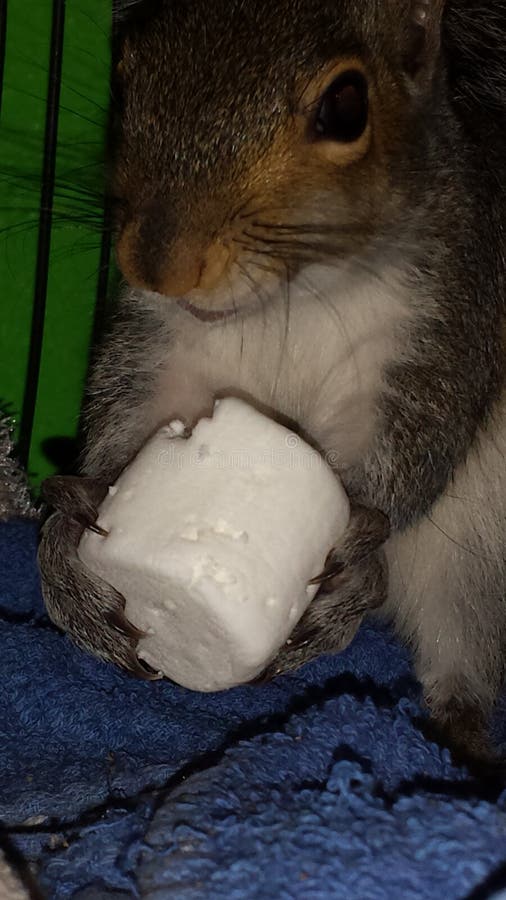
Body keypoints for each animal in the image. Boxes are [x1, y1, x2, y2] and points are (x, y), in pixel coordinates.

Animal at [39, 0, 506, 766]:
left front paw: (356, 558)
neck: (293, 299)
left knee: (461, 648)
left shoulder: (448, 323)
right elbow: (124, 433)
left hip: (477, 554)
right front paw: (68, 545)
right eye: (125, 73)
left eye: (346, 108)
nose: (158, 264)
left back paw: (458, 737)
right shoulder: (161, 354)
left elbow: (414, 458)